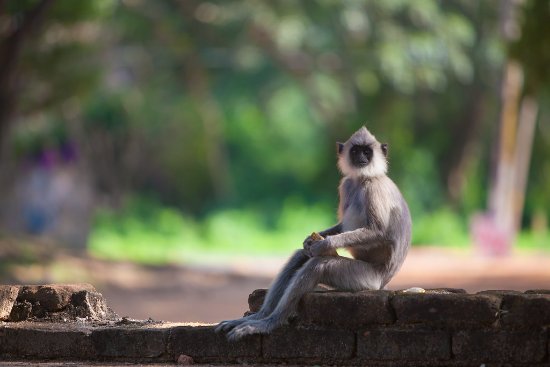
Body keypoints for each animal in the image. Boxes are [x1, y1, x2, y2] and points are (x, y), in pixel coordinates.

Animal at [217, 126, 414, 342]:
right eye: (356, 151)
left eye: (367, 152)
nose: (361, 158)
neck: (363, 178)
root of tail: (383, 283)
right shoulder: (347, 184)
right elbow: (339, 227)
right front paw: (310, 240)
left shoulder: (374, 188)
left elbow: (379, 232)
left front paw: (324, 244)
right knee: (300, 256)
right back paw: (259, 316)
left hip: (365, 279)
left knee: (318, 265)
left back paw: (269, 322)